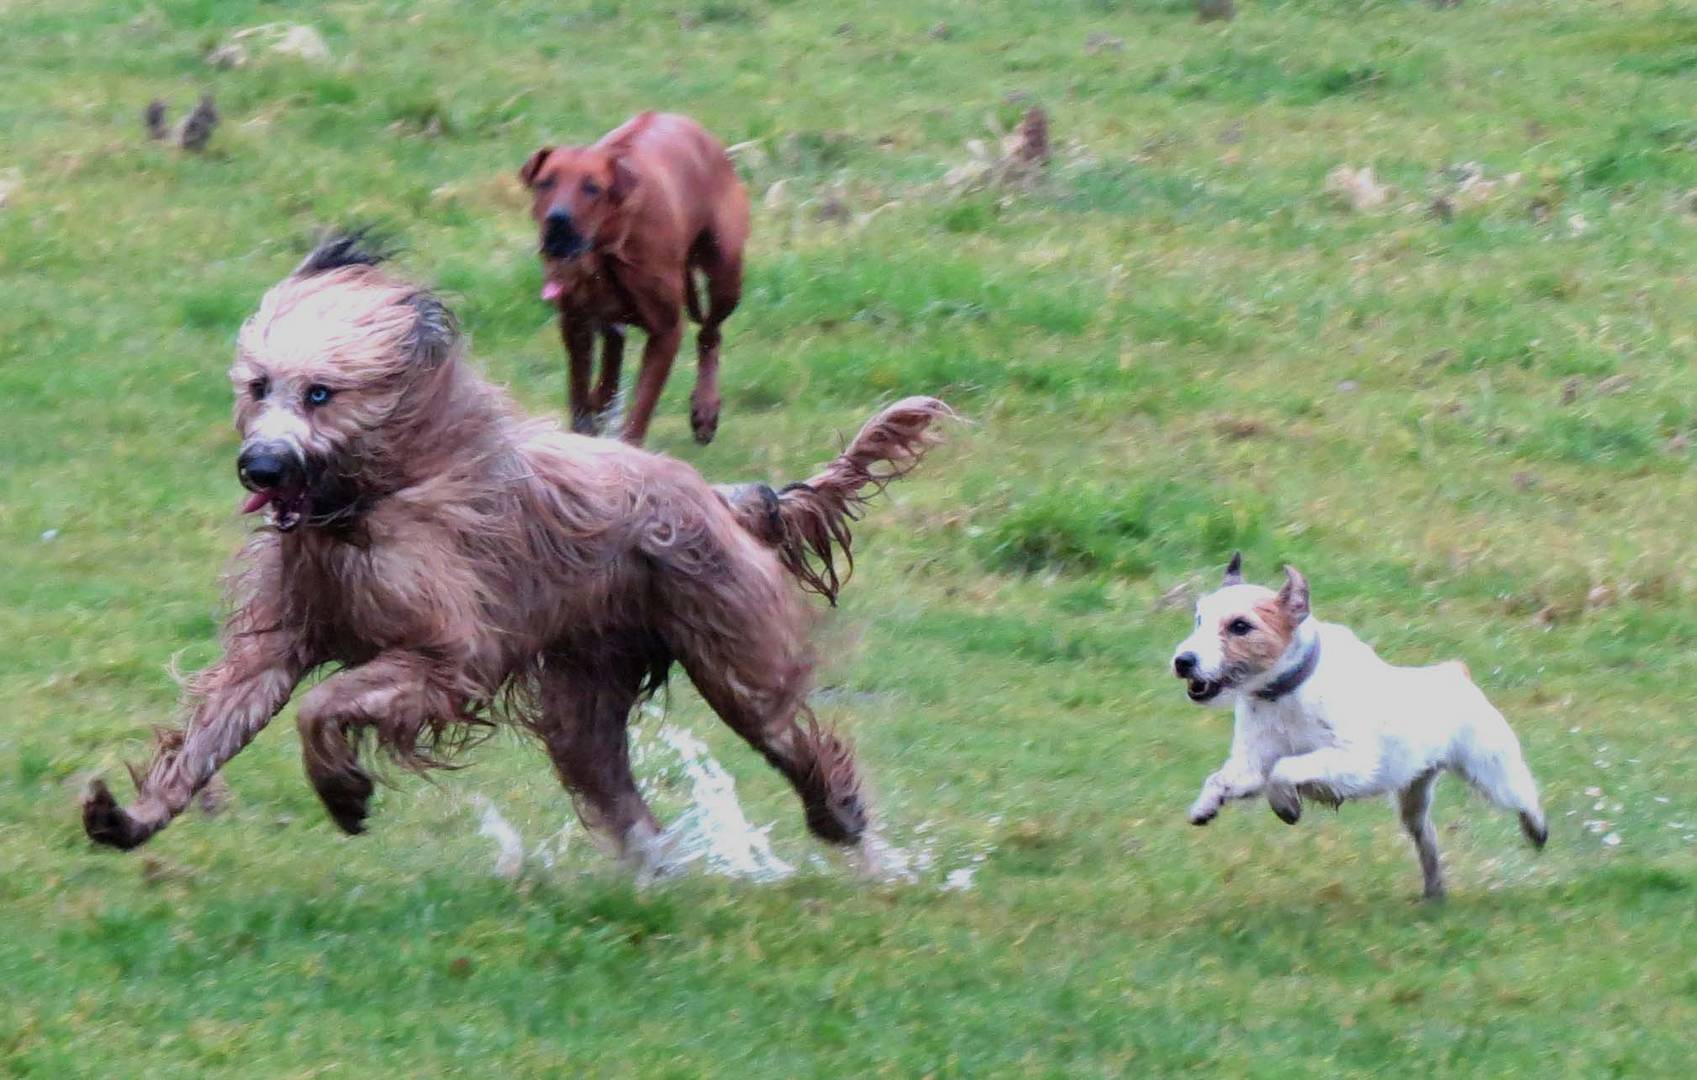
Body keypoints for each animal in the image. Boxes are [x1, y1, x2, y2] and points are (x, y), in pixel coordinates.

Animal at [79, 236, 950, 869]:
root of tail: (721, 496)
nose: (257, 466)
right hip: (584, 691)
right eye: (259, 385)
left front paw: (343, 791)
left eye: (320, 393)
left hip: (729, 643)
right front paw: (130, 816)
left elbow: (324, 706)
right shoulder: (278, 642)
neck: (363, 509)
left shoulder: (447, 655)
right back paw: (663, 869)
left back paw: (837, 814)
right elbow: (210, 734)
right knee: (615, 790)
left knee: (786, 732)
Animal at [519, 109, 753, 441]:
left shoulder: (666, 331)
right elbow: (578, 391)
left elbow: (642, 406)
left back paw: (705, 407)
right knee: (613, 346)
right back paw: (603, 398)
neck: (605, 251)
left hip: (725, 273)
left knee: (710, 332)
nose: (557, 222)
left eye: (592, 188)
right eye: (545, 182)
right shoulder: (574, 322)